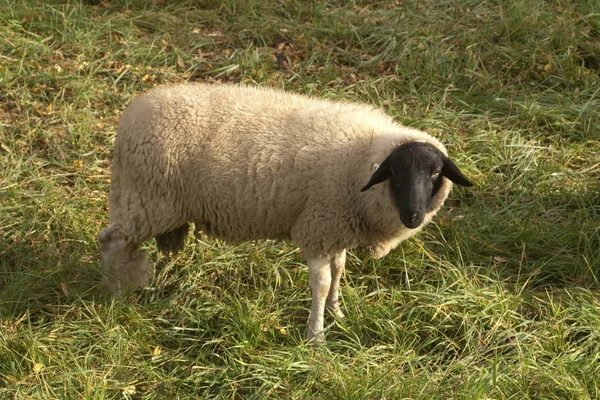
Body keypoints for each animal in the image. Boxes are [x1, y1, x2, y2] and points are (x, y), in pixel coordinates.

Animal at [98, 83, 474, 342]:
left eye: (435, 174)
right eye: (395, 173)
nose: (413, 216)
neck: (362, 157)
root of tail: (130, 116)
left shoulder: (334, 228)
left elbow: (339, 270)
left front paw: (337, 312)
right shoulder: (317, 228)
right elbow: (322, 283)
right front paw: (316, 336)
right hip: (147, 201)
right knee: (111, 241)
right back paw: (114, 293)